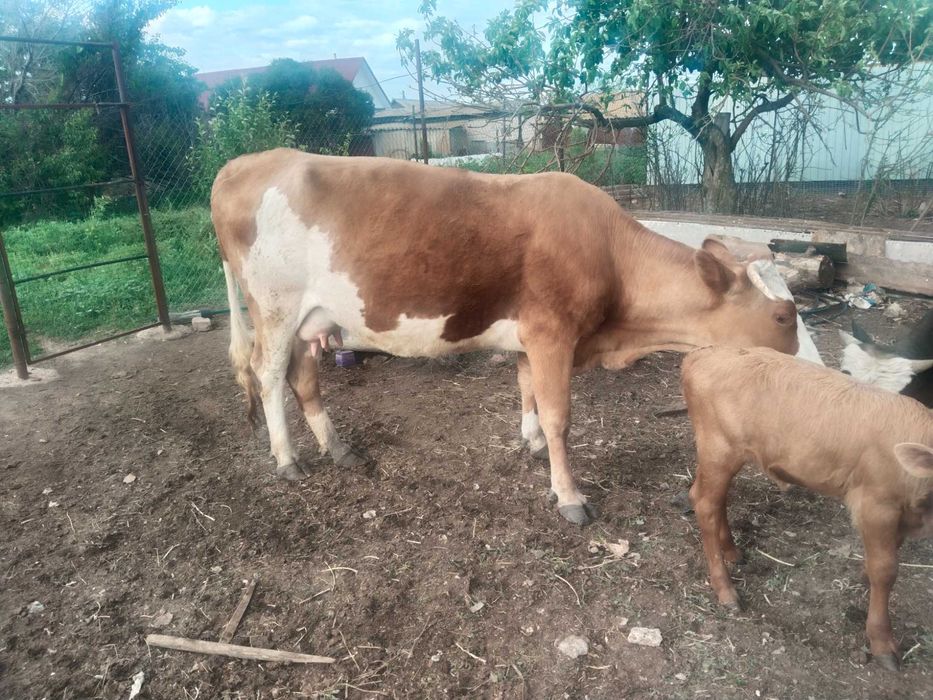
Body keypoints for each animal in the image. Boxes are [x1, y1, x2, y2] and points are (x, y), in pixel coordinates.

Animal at [211, 148, 803, 526]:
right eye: (783, 318)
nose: (805, 363)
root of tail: (245, 163)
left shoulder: (530, 336)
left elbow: (527, 392)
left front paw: (530, 440)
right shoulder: (552, 332)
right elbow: (560, 415)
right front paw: (568, 495)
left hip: (309, 320)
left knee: (302, 378)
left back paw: (337, 448)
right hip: (275, 307)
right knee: (267, 376)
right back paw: (287, 460)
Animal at [682, 345, 933, 670]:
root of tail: (702, 353)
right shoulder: (876, 505)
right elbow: (886, 569)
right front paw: (882, 641)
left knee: (710, 498)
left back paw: (732, 551)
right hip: (718, 449)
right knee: (705, 505)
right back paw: (725, 589)